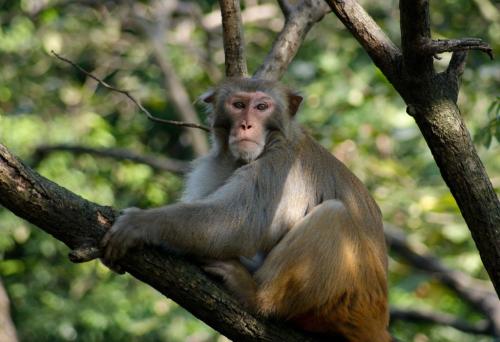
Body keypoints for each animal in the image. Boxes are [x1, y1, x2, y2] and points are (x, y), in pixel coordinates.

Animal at [101, 77, 390, 342]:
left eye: (262, 106)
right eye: (239, 105)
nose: (246, 125)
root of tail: (379, 323)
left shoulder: (282, 166)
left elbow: (240, 224)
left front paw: (140, 224)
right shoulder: (215, 165)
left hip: (350, 302)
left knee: (333, 215)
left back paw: (258, 298)